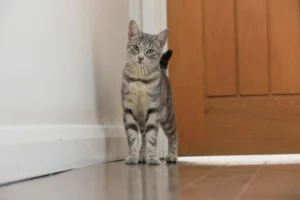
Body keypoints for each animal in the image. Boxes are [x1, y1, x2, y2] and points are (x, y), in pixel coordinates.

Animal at [121, 19, 178, 165]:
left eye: (150, 51)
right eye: (136, 47)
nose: (140, 58)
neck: (140, 79)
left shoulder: (153, 110)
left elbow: (152, 137)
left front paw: (152, 157)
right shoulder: (128, 109)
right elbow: (133, 137)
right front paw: (133, 156)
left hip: (167, 116)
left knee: (174, 134)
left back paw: (172, 155)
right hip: (142, 119)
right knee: (143, 136)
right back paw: (142, 156)